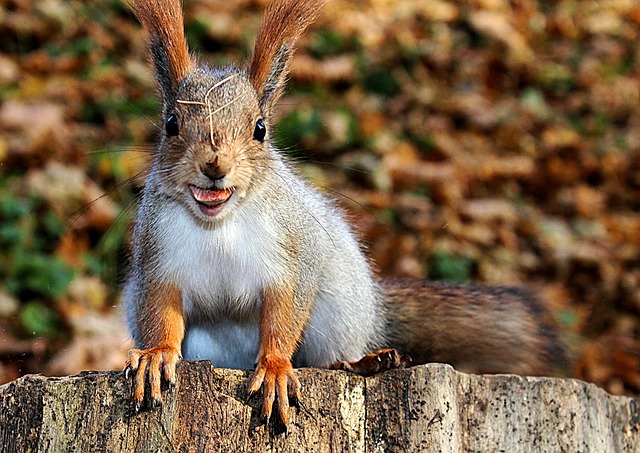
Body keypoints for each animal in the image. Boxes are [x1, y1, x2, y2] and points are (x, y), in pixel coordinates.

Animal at [122, 0, 568, 424]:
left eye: (260, 129)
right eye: (171, 123)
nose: (214, 166)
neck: (218, 225)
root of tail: (374, 311)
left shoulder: (294, 253)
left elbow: (284, 314)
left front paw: (276, 368)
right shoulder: (157, 259)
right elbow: (160, 312)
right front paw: (155, 355)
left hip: (338, 310)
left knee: (331, 356)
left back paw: (364, 361)